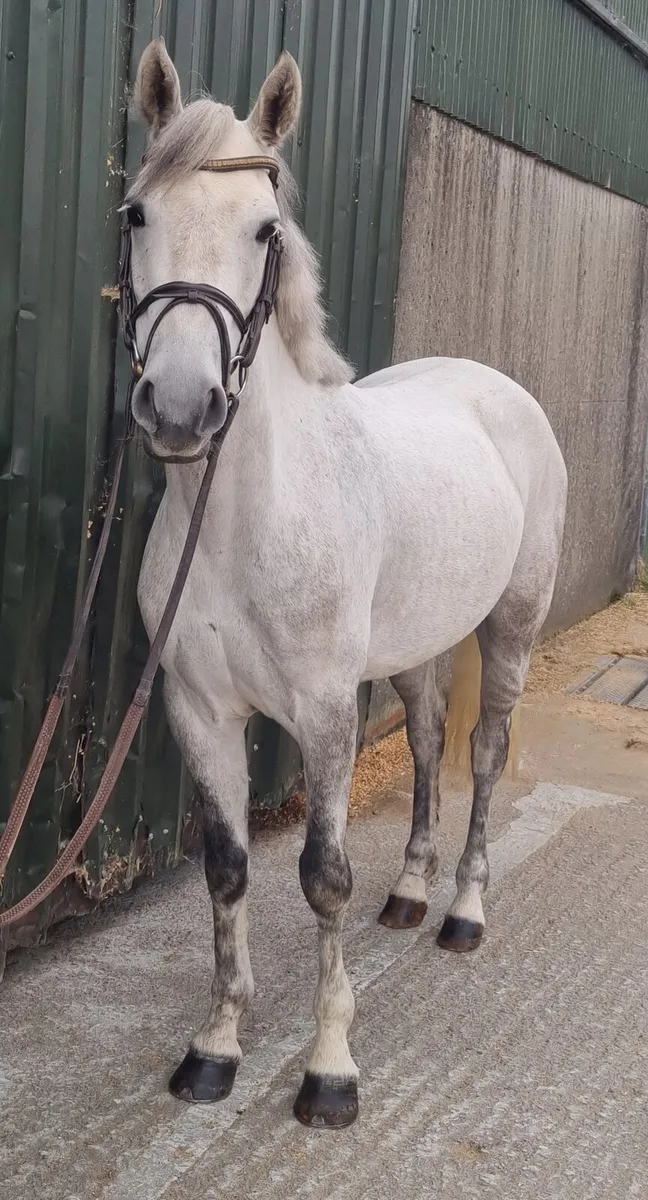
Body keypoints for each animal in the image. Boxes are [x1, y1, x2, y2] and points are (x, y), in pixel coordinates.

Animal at [127, 39, 567, 1128]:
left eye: (265, 229)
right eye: (138, 215)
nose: (182, 409)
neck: (245, 518)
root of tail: (495, 388)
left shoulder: (324, 712)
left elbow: (322, 876)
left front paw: (329, 1070)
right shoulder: (199, 711)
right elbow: (229, 869)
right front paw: (215, 1048)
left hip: (510, 628)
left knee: (484, 754)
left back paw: (462, 911)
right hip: (416, 649)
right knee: (428, 745)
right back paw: (408, 895)